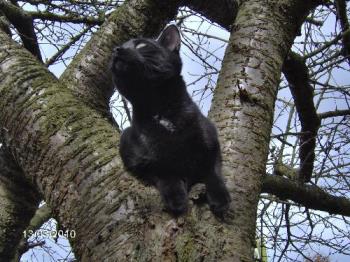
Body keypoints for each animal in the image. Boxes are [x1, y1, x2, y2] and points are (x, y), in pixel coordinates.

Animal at [109, 25, 230, 217]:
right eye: (120, 45)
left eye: (141, 45)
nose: (116, 49)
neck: (160, 108)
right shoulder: (136, 158)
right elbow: (163, 171)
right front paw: (176, 198)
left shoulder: (212, 144)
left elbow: (213, 172)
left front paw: (220, 199)